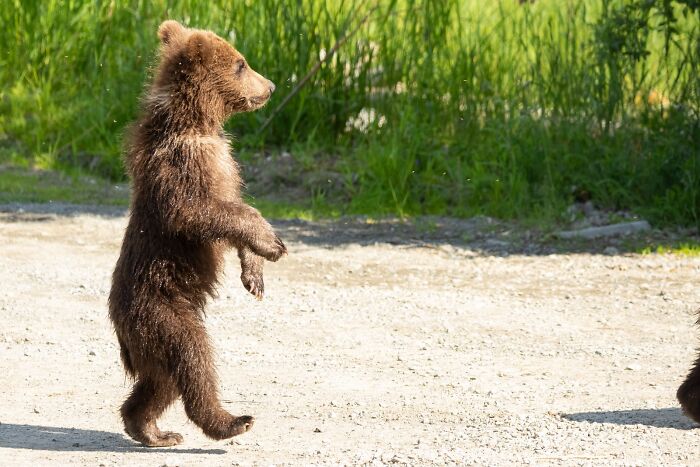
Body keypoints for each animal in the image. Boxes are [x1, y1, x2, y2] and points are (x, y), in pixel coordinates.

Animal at [108, 20, 286, 447]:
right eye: (242, 64)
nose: (271, 85)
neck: (194, 121)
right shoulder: (181, 167)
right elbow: (201, 213)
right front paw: (272, 243)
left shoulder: (224, 167)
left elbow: (231, 210)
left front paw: (254, 277)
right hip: (161, 310)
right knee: (193, 358)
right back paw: (232, 420)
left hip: (157, 328)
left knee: (161, 382)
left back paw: (152, 430)